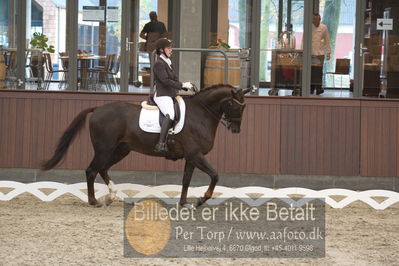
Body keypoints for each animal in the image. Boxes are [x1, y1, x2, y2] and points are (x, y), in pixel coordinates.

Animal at [42, 83, 252, 208]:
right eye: (235, 105)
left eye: (244, 107)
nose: (236, 130)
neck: (201, 114)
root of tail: (98, 109)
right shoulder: (196, 155)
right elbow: (215, 175)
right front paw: (201, 200)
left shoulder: (191, 157)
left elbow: (186, 180)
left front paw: (184, 203)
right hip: (104, 149)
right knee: (91, 170)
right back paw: (94, 201)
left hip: (120, 150)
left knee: (101, 168)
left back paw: (112, 196)